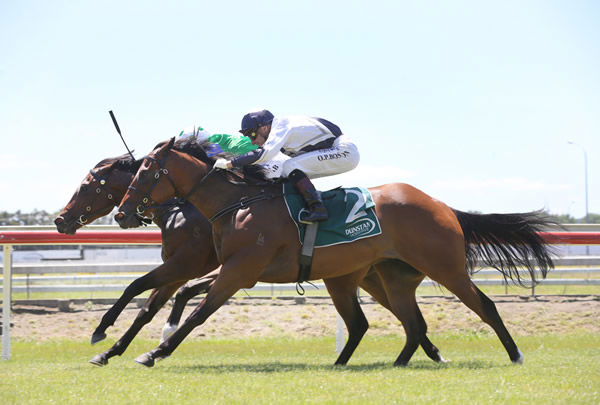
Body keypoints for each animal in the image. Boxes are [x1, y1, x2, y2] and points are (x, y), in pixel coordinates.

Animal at [57, 147, 446, 364]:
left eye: (88, 185)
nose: (61, 220)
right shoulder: (189, 268)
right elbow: (149, 307)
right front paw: (114, 349)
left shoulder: (189, 264)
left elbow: (139, 289)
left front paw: (104, 332)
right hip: (365, 274)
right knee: (401, 314)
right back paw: (430, 351)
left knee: (402, 314)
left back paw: (428, 352)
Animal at [115, 137, 556, 368]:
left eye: (146, 170)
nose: (122, 213)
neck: (238, 202)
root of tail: (441, 205)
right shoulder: (236, 271)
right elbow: (184, 297)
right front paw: (125, 346)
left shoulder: (239, 272)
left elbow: (198, 315)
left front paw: (153, 352)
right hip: (377, 278)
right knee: (401, 324)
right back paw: (382, 364)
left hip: (445, 267)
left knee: (484, 306)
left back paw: (515, 354)